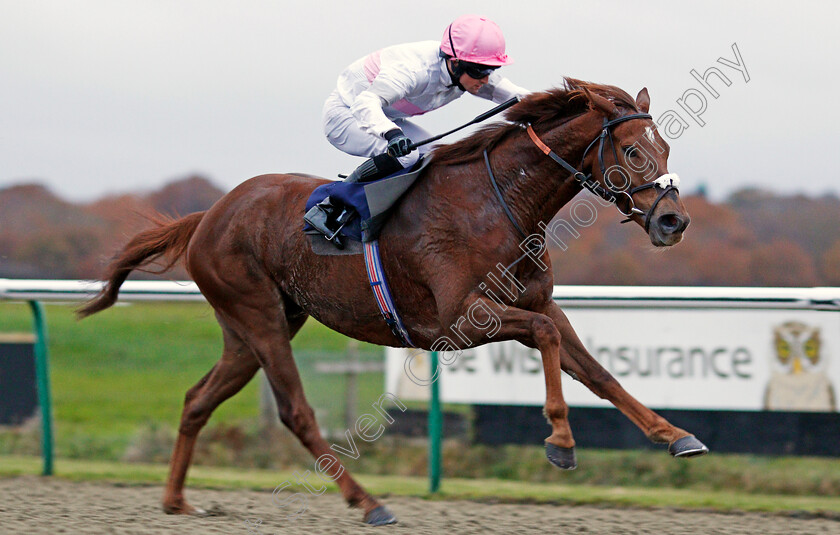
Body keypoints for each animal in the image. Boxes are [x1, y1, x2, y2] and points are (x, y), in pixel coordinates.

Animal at [79, 79, 704, 528]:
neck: (496, 204)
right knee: (295, 411)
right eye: (631, 150)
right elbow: (548, 342)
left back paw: (176, 501)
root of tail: (208, 214)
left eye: (666, 146)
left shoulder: (542, 305)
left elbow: (597, 371)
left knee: (197, 400)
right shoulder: (461, 321)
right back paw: (370, 503)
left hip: (252, 326)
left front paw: (675, 436)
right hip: (257, 316)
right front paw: (561, 442)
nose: (674, 222)